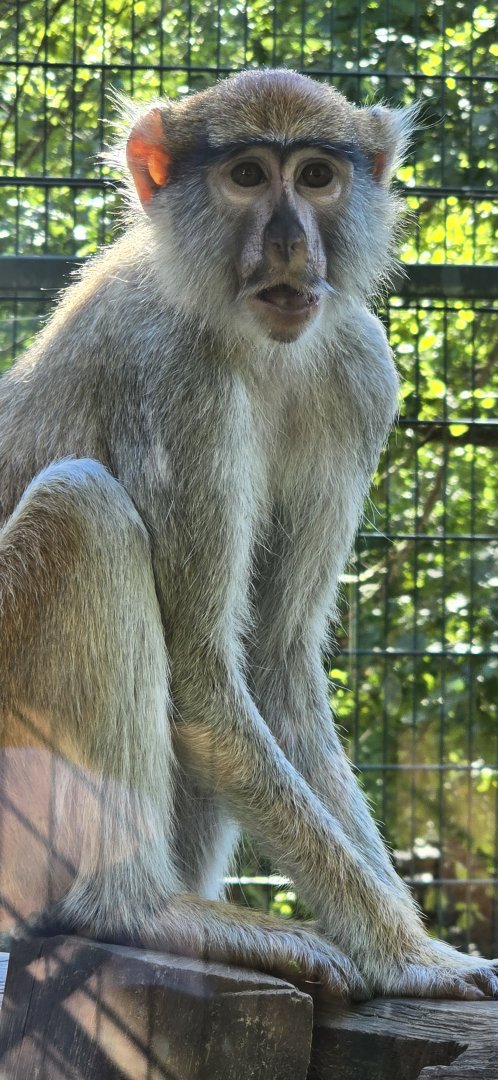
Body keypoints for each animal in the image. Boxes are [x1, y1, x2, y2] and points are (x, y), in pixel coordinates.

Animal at [0, 69, 497, 1003]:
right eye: (246, 176)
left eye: (315, 176)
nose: (292, 247)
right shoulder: (175, 378)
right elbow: (202, 675)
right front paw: (409, 953)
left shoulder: (361, 370)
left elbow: (273, 662)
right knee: (83, 509)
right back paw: (140, 909)